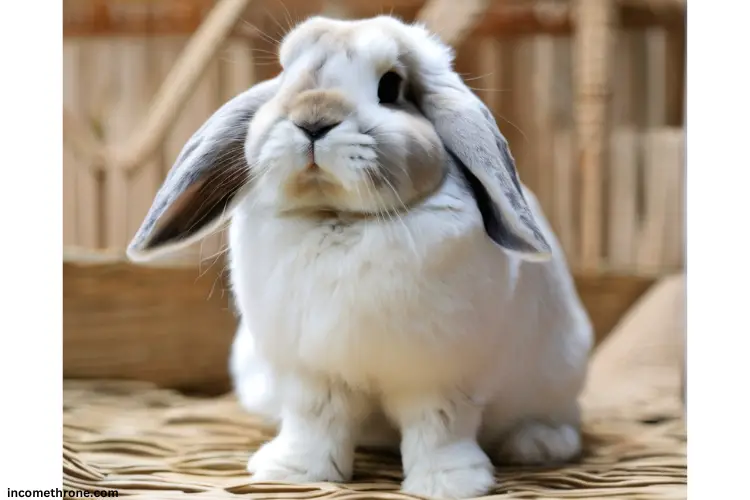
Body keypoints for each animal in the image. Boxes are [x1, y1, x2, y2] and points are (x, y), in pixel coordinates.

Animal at [132, 14, 596, 500]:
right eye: (285, 75)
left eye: (390, 86)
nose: (312, 120)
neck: (340, 218)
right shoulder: (311, 375)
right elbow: (313, 422)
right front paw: (290, 473)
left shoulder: (440, 377)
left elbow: (440, 428)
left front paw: (450, 483)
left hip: (558, 376)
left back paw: (540, 444)